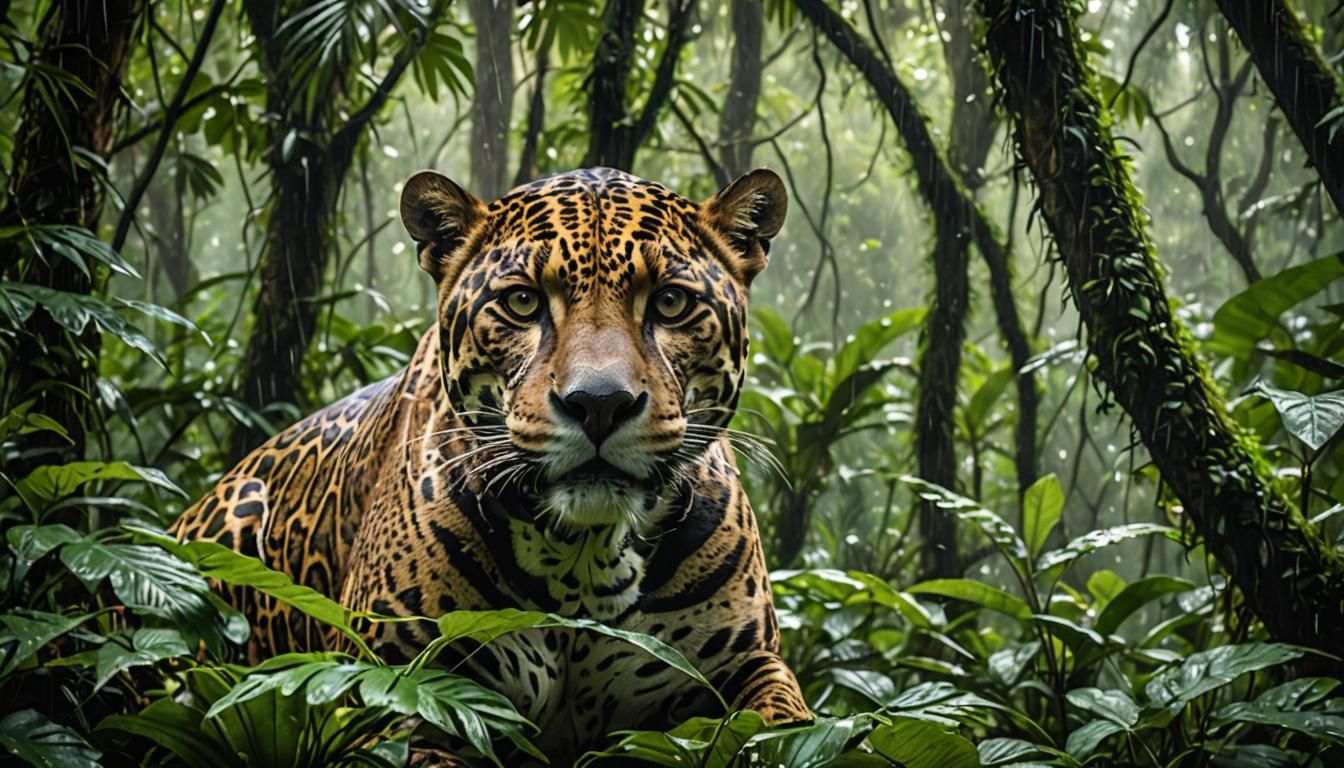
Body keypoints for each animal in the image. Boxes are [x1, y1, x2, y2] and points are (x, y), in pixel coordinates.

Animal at [172, 166, 811, 765]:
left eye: (671, 303)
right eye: (522, 302)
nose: (599, 403)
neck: (585, 562)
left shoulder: (748, 664)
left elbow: (787, 729)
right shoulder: (395, 688)